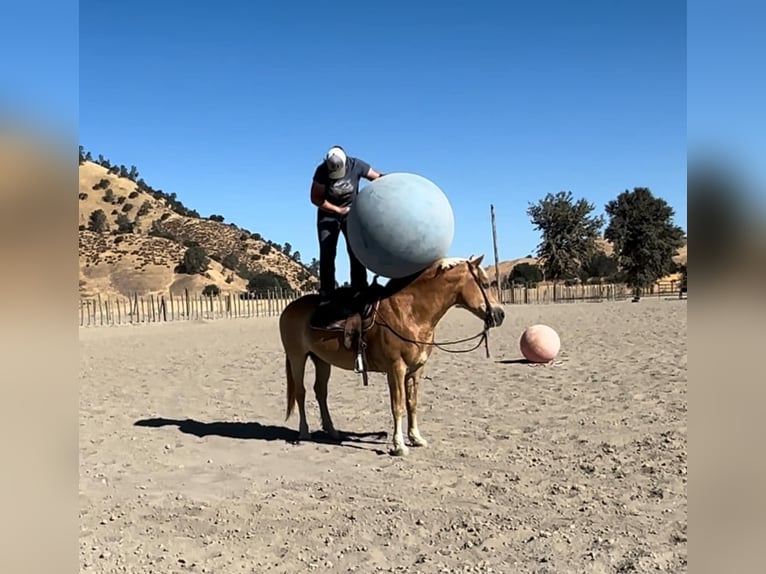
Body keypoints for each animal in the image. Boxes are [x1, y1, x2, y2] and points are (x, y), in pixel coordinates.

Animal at [280, 256, 508, 460]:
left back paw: (332, 431)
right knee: (301, 392)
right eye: (485, 284)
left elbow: (412, 403)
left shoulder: (416, 370)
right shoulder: (396, 369)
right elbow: (397, 406)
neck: (410, 313)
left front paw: (416, 438)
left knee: (321, 392)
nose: (500, 314)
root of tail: (289, 308)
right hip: (297, 357)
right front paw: (399, 446)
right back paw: (304, 433)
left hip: (321, 360)